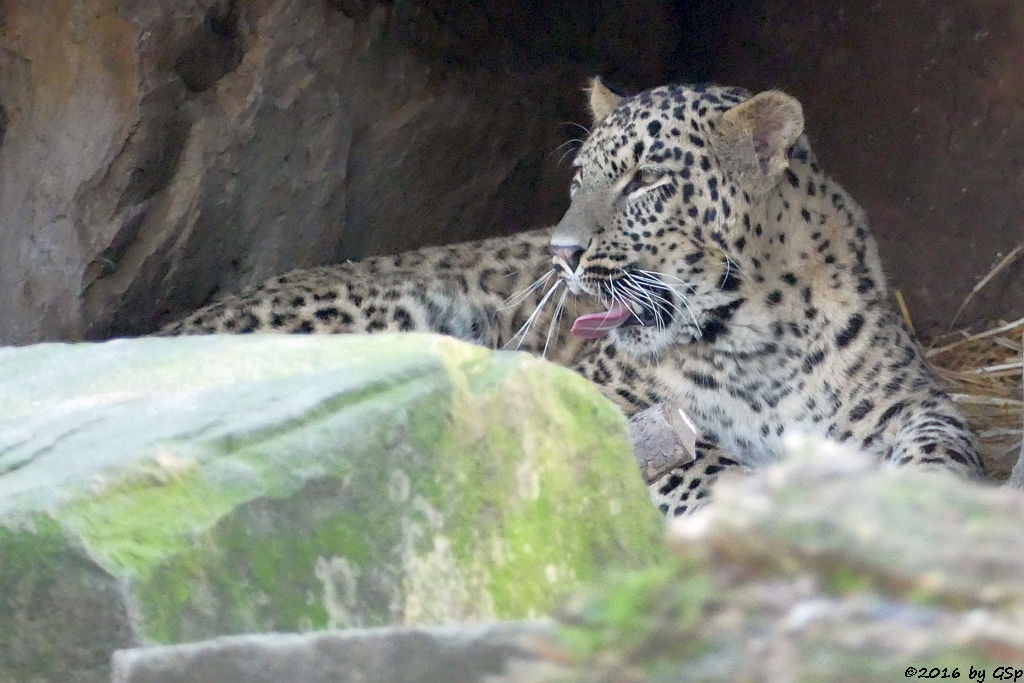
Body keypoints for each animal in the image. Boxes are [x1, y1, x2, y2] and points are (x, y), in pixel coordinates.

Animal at [159, 77, 983, 516]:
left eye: (646, 182)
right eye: (579, 178)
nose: (562, 253)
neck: (756, 336)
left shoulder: (913, 401)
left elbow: (945, 449)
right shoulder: (607, 397)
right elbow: (698, 463)